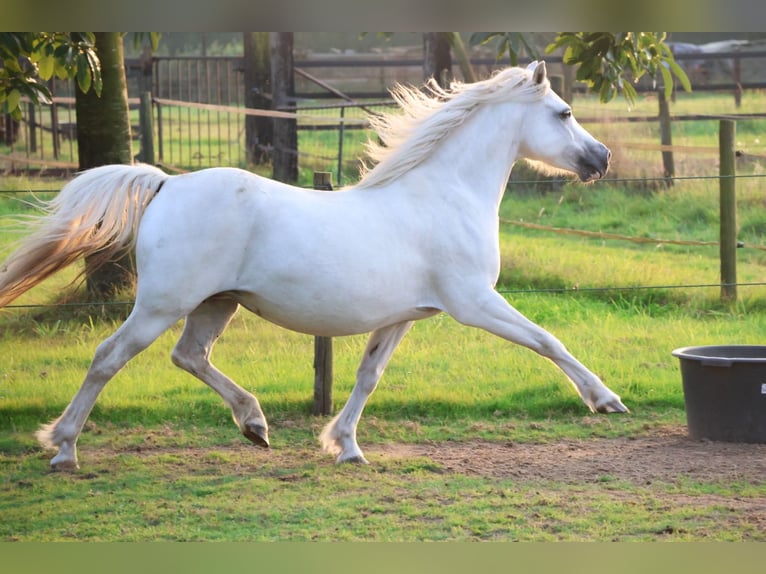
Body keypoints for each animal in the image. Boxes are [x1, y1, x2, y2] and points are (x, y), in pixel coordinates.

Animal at [0, 60, 628, 470]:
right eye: (564, 112)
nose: (601, 159)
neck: (443, 196)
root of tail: (166, 184)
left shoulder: (401, 317)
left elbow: (368, 376)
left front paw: (345, 445)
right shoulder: (474, 303)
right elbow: (547, 340)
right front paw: (605, 400)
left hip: (214, 304)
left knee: (189, 356)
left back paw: (255, 425)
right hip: (161, 303)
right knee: (108, 358)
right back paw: (63, 448)